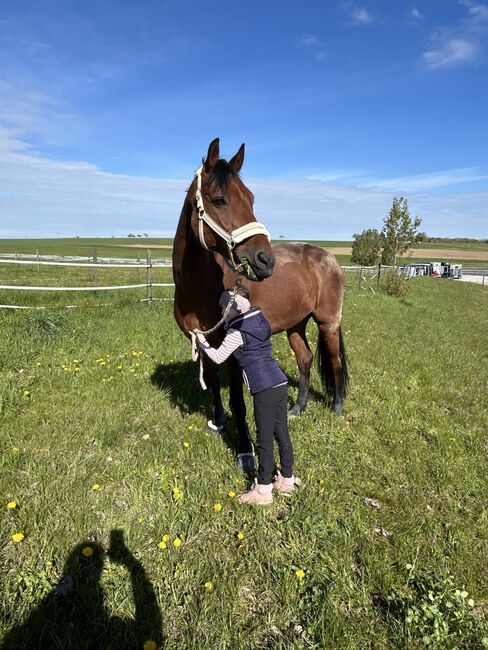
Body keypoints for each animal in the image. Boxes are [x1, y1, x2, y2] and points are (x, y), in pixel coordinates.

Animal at [172, 137, 346, 450]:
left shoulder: (231, 348)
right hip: (295, 325)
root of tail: (330, 258)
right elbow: (213, 384)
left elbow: (237, 401)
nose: (265, 260)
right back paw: (298, 407)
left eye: (251, 199)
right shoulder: (204, 343)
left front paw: (243, 442)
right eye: (219, 200)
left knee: (335, 360)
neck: (196, 287)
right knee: (305, 359)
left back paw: (337, 407)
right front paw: (218, 421)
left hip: (328, 323)